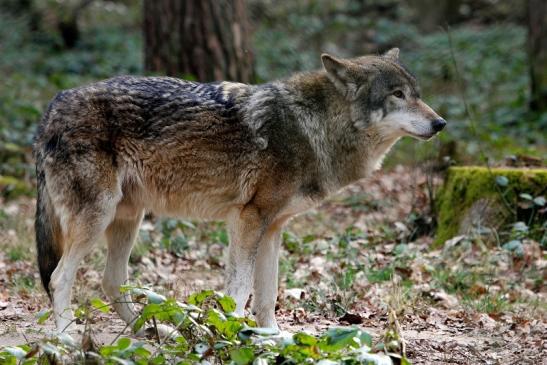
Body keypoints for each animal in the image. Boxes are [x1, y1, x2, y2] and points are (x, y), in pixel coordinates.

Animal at [33, 48, 446, 332]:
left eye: (416, 93)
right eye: (396, 95)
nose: (441, 123)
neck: (315, 127)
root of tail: (52, 107)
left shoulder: (273, 227)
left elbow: (267, 293)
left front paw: (272, 337)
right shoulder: (249, 219)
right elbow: (240, 288)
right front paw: (228, 333)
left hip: (127, 220)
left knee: (111, 281)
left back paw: (151, 333)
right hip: (97, 217)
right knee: (59, 278)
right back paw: (68, 337)